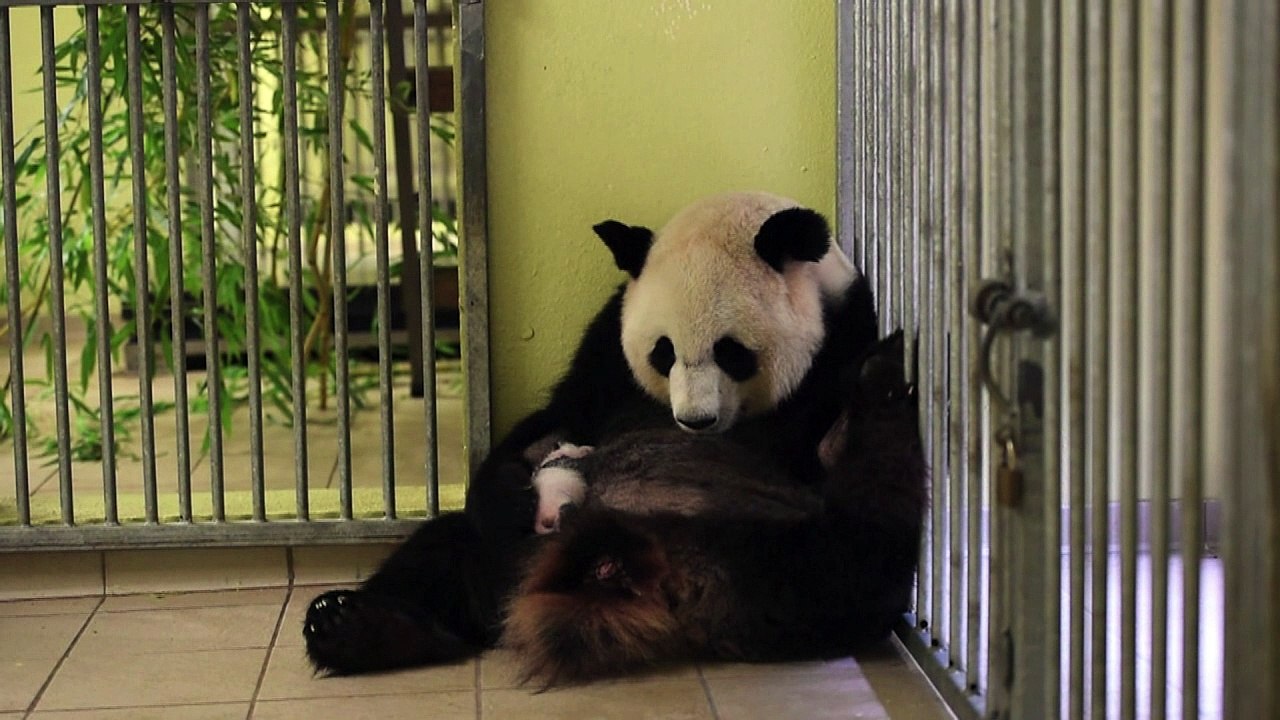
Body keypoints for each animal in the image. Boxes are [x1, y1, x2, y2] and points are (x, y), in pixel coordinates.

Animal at [302, 191, 879, 675]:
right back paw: (357, 627)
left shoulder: (841, 346)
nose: (694, 422)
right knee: (440, 553)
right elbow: (559, 416)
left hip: (759, 557)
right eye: (664, 352)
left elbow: (805, 448)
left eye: (731, 352)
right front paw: (516, 491)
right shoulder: (607, 348)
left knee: (805, 570)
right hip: (478, 559)